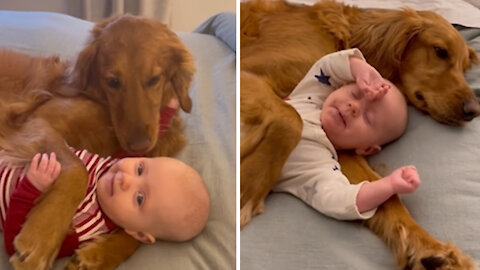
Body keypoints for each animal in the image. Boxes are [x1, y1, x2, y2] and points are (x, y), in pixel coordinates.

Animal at [0, 14, 195, 270]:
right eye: (112, 81)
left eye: (154, 79)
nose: (140, 147)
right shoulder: (35, 122)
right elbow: (77, 168)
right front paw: (41, 238)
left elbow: (139, 237)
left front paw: (98, 256)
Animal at [242, 1, 478, 268]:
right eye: (440, 51)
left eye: (464, 67)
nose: (474, 110)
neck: (335, 35)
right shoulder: (247, 70)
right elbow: (290, 116)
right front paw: (249, 187)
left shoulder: (339, 146)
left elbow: (377, 191)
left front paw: (429, 247)